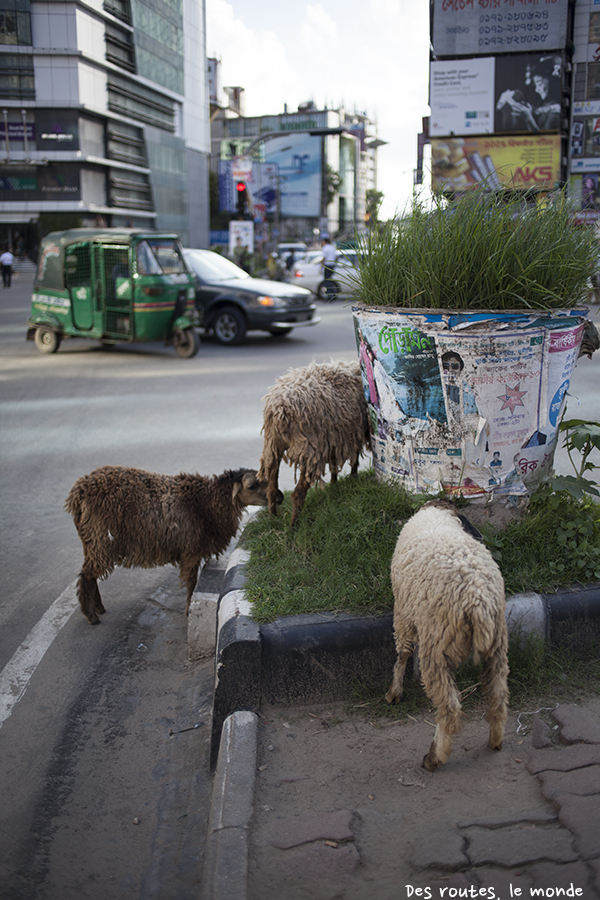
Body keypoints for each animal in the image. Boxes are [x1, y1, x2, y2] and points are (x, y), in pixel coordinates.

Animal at [67, 464, 280, 624]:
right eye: (252, 486)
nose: (280, 496)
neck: (206, 503)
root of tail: (77, 493)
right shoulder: (191, 550)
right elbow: (191, 583)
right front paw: (187, 610)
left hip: (91, 540)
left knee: (90, 574)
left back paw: (99, 607)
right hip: (99, 537)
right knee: (87, 575)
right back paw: (91, 615)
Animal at [258, 360, 370, 528]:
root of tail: (280, 410)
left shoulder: (336, 438)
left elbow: (335, 465)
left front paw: (334, 485)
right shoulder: (354, 434)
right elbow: (354, 460)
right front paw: (353, 478)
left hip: (272, 447)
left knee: (271, 488)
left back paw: (273, 519)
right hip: (309, 450)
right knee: (298, 493)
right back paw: (293, 526)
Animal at [386, 496, 508, 768]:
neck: (437, 514)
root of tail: (477, 600)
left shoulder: (403, 613)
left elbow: (403, 653)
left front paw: (394, 693)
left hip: (437, 648)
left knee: (450, 707)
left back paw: (434, 757)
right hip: (497, 644)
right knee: (498, 696)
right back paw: (495, 740)